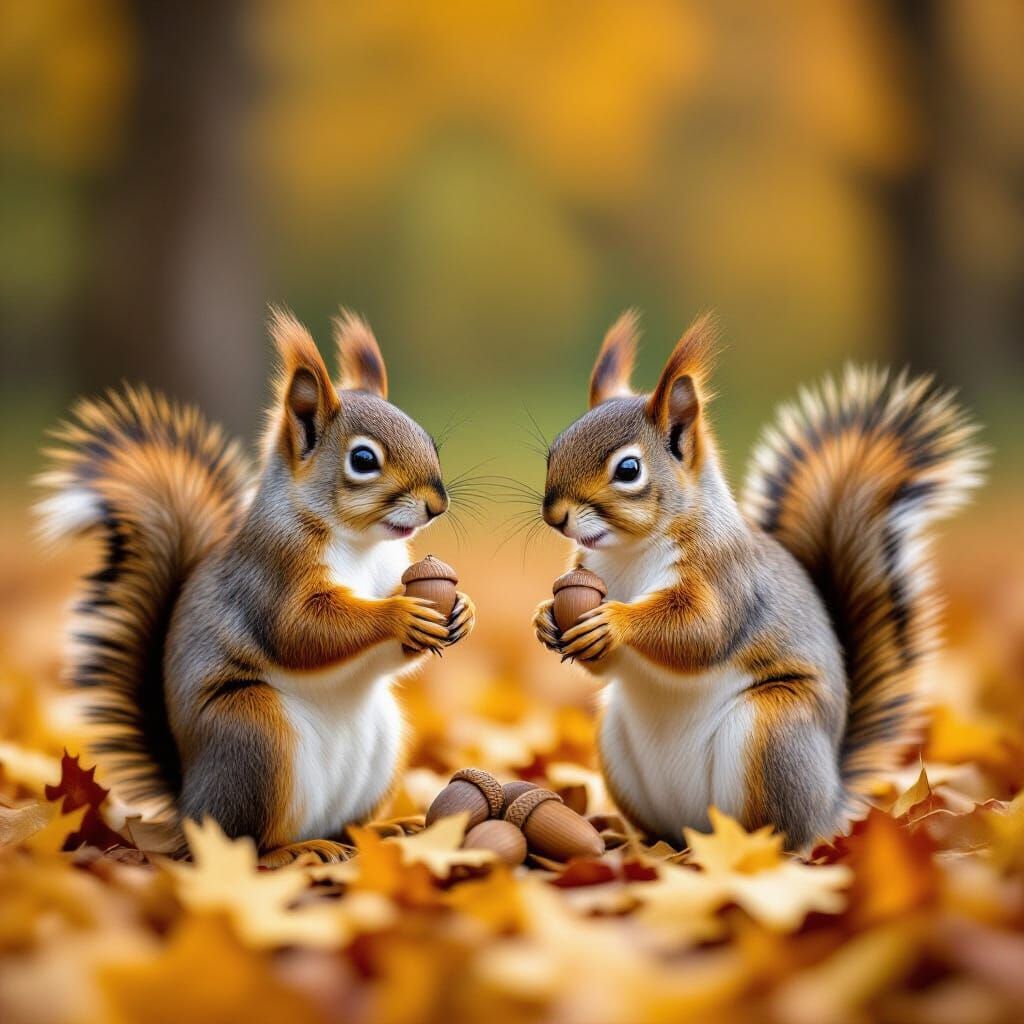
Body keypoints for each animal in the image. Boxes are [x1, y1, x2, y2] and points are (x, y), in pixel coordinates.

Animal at [37, 308, 475, 862]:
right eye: (363, 460)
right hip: (254, 735)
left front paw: (462, 610)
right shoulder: (270, 575)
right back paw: (293, 853)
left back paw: (378, 831)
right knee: (244, 840)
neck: (360, 543)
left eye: (429, 441)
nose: (437, 504)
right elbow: (300, 631)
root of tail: (189, 805)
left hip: (381, 745)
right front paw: (398, 614)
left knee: (342, 825)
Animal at [533, 311, 983, 849]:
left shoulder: (727, 578)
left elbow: (700, 632)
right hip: (620, 746)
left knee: (772, 832)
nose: (555, 515)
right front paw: (545, 619)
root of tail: (829, 804)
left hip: (771, 733)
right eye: (553, 450)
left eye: (628, 469)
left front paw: (616, 622)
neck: (629, 553)